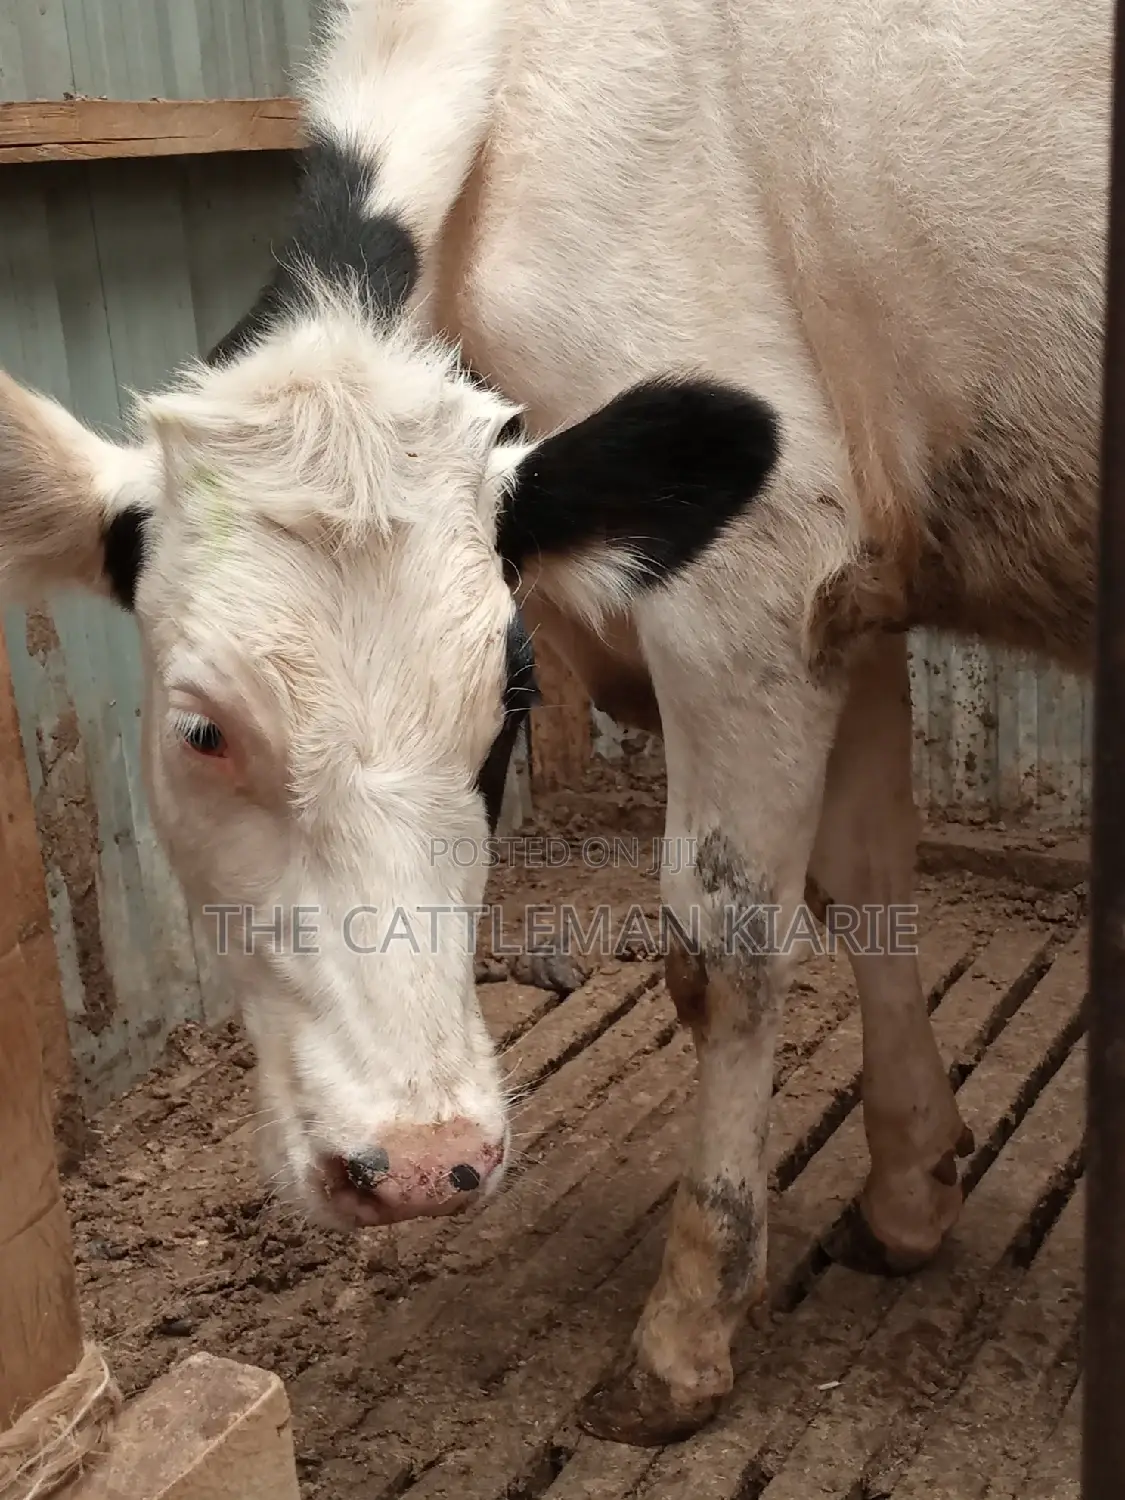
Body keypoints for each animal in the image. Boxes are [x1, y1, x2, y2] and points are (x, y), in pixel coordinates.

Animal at [0, 0, 1108, 1448]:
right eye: (201, 731)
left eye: (504, 714)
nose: (420, 1164)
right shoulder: (849, 589)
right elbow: (866, 879)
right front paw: (909, 1195)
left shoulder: (756, 572)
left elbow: (727, 951)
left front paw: (685, 1336)